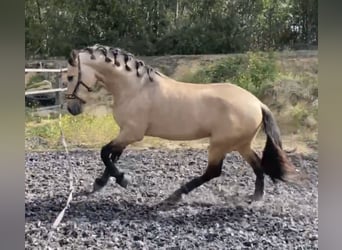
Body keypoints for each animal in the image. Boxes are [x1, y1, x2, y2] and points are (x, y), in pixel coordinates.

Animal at [64, 44, 300, 205]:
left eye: (69, 77)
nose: (72, 109)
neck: (135, 88)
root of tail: (258, 103)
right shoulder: (125, 133)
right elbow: (112, 157)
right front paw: (100, 183)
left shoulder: (132, 133)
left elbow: (105, 153)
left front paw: (123, 179)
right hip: (241, 144)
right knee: (257, 166)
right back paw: (256, 197)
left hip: (220, 144)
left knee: (213, 172)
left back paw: (176, 195)